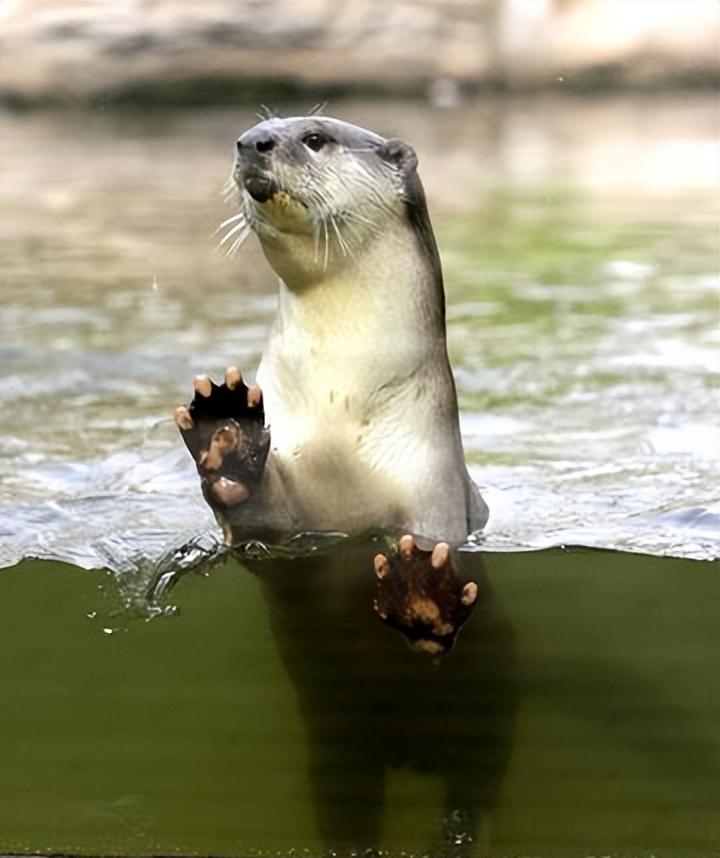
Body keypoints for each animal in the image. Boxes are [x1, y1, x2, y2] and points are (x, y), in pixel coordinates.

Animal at [174, 112, 490, 648]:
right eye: (259, 126)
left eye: (315, 138)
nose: (250, 142)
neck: (336, 403)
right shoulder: (288, 534)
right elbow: (257, 525)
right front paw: (228, 435)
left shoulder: (433, 489)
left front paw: (421, 591)